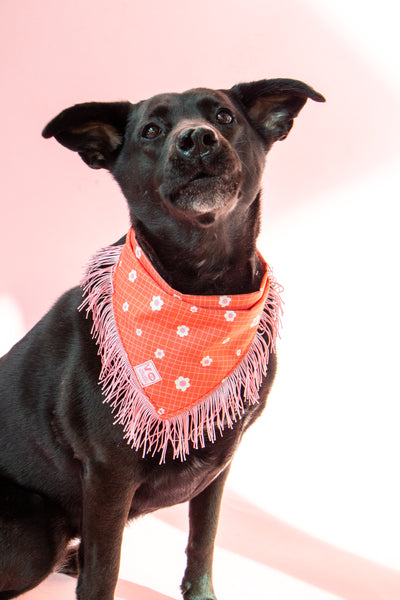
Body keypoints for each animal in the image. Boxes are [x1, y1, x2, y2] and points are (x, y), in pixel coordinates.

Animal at [0, 79, 324, 600]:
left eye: (225, 116)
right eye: (151, 130)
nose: (198, 140)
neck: (200, 288)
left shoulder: (218, 464)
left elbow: (203, 540)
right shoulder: (109, 475)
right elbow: (104, 572)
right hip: (34, 531)